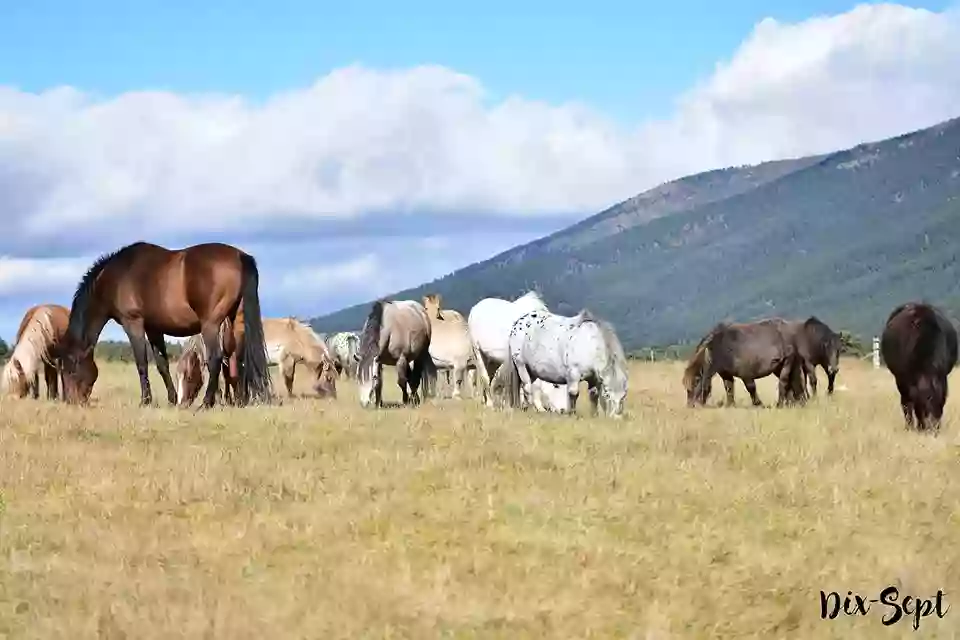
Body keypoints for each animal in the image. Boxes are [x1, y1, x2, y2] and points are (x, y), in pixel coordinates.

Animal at [58, 242, 272, 408]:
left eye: (70, 369)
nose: (71, 401)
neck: (116, 276)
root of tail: (240, 257)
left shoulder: (133, 323)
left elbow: (142, 362)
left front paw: (145, 400)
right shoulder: (154, 328)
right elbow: (162, 364)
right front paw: (171, 400)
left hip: (211, 325)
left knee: (215, 359)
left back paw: (206, 403)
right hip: (236, 322)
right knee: (238, 360)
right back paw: (240, 401)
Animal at [496, 308, 632, 418]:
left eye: (623, 397)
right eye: (608, 395)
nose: (616, 417)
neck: (590, 345)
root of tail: (517, 324)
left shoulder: (593, 378)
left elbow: (593, 395)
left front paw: (594, 415)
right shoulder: (573, 374)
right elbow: (573, 393)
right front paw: (572, 413)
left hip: (532, 370)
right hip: (521, 365)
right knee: (526, 387)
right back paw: (527, 409)